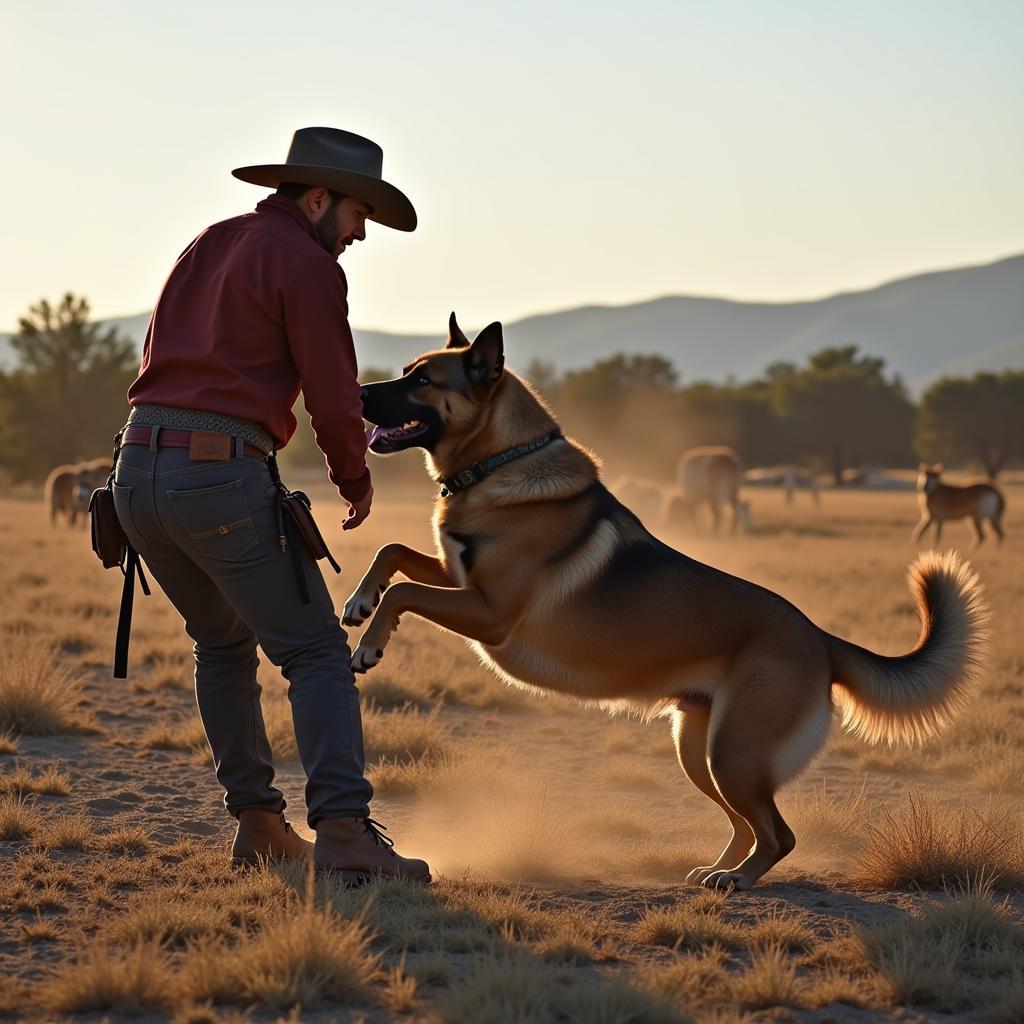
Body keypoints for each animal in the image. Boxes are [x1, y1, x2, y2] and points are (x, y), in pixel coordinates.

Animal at [348, 315, 987, 892]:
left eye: (422, 379)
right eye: (407, 369)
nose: (356, 393)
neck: (502, 462)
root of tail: (820, 639)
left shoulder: (490, 613)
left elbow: (405, 589)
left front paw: (368, 646)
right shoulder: (457, 578)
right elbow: (392, 552)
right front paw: (358, 601)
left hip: (732, 754)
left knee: (778, 833)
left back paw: (738, 880)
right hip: (699, 752)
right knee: (745, 826)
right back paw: (718, 870)